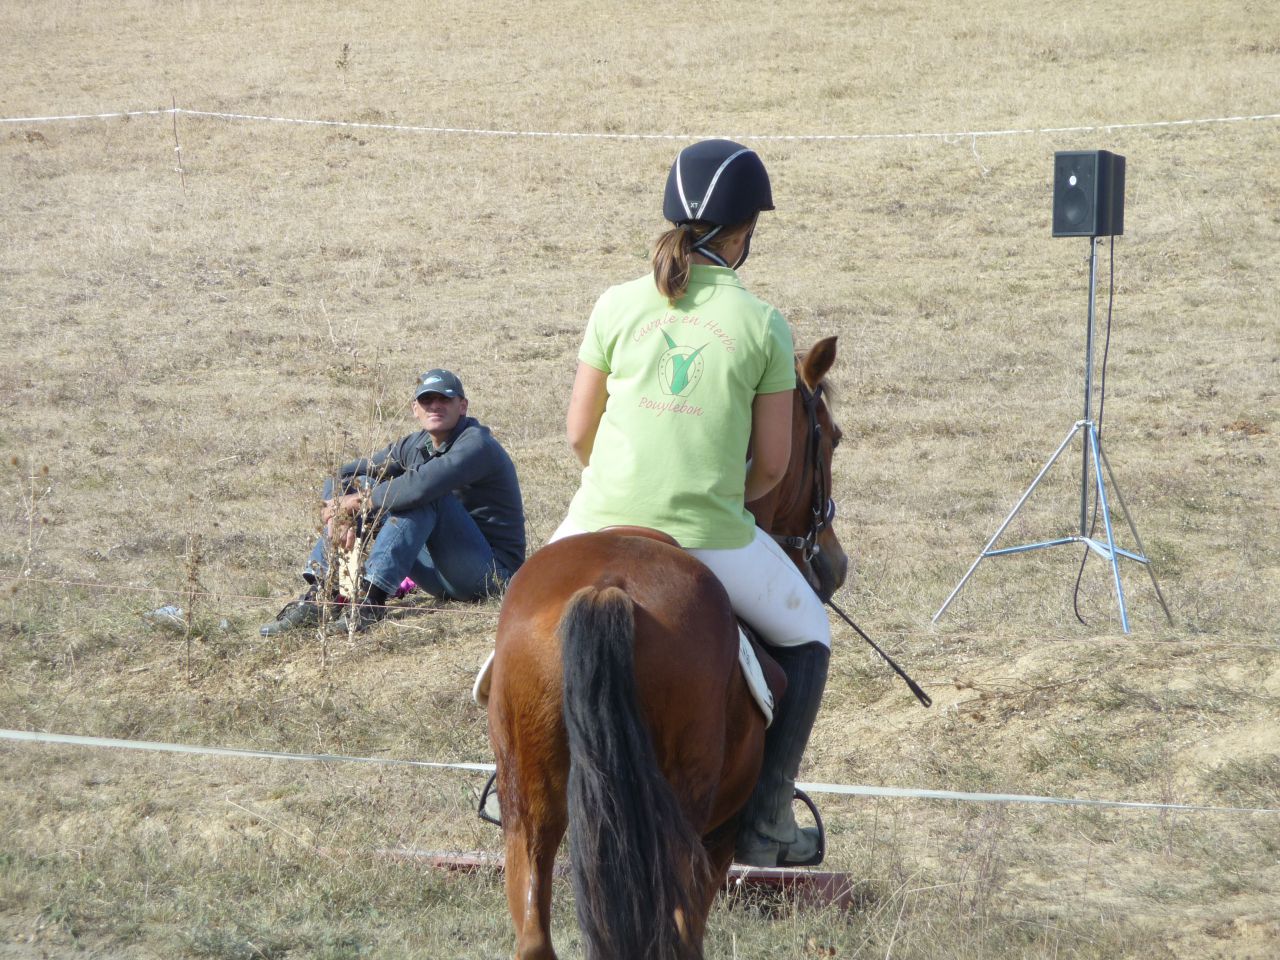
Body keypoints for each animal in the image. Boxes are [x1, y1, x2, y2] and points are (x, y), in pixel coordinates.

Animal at [485, 336, 845, 960]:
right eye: (833, 437)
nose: (835, 564)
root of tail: (608, 587)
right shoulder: (718, 838)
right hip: (679, 824)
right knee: (673, 931)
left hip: (529, 806)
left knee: (531, 924)